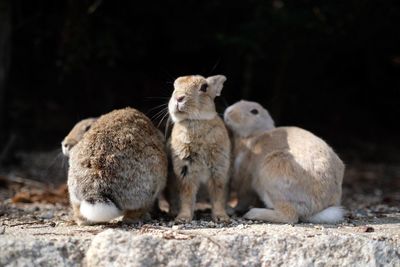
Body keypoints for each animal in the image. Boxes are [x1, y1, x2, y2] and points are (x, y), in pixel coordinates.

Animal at [167, 74, 231, 223]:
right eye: (174, 86)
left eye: (204, 87)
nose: (179, 98)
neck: (196, 121)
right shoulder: (185, 172)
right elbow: (187, 196)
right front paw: (183, 218)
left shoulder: (218, 170)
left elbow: (218, 196)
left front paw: (222, 218)